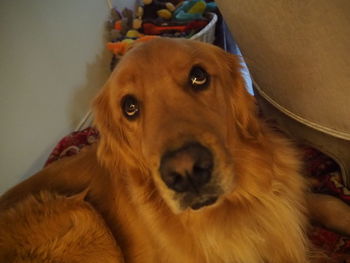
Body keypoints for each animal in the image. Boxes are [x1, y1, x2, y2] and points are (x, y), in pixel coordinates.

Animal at [0, 37, 350, 263]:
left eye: (199, 76)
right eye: (129, 107)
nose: (186, 172)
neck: (243, 204)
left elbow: (329, 203)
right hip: (87, 220)